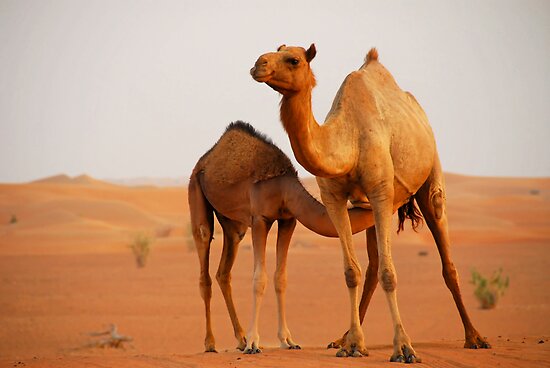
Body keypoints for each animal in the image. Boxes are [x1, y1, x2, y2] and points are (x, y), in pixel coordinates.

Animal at [189, 121, 376, 354]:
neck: (285, 188)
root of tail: (204, 161)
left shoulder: (288, 220)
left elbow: (281, 278)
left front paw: (287, 341)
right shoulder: (260, 218)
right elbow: (259, 278)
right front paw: (253, 343)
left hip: (233, 224)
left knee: (223, 271)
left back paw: (240, 339)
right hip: (196, 191)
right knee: (204, 251)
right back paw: (211, 343)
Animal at [251, 45, 492, 362]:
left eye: (293, 59)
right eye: (277, 49)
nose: (258, 64)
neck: (349, 141)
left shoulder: (381, 192)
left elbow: (390, 273)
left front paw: (404, 348)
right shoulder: (335, 199)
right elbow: (351, 272)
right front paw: (352, 344)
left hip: (429, 177)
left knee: (446, 260)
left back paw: (474, 337)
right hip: (370, 209)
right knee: (372, 267)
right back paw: (343, 339)